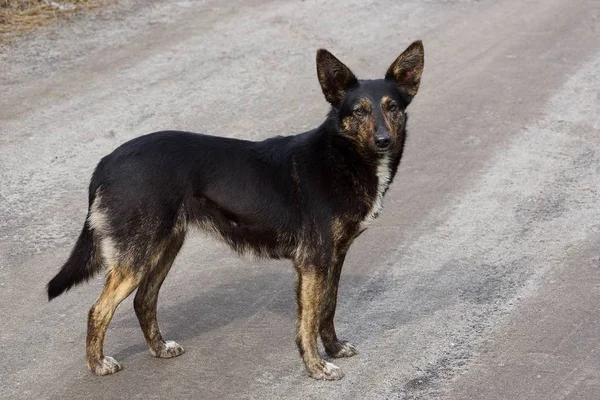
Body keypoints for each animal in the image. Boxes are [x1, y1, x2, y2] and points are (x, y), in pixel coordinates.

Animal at [49, 41, 426, 382]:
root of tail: (107, 161)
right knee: (98, 309)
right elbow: (308, 320)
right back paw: (98, 364)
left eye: (392, 107)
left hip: (164, 246)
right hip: (138, 255)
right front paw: (317, 367)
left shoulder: (335, 256)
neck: (341, 156)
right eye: (359, 111)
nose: (383, 141)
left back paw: (159, 349)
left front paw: (332, 349)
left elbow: (327, 309)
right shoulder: (314, 261)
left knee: (144, 300)